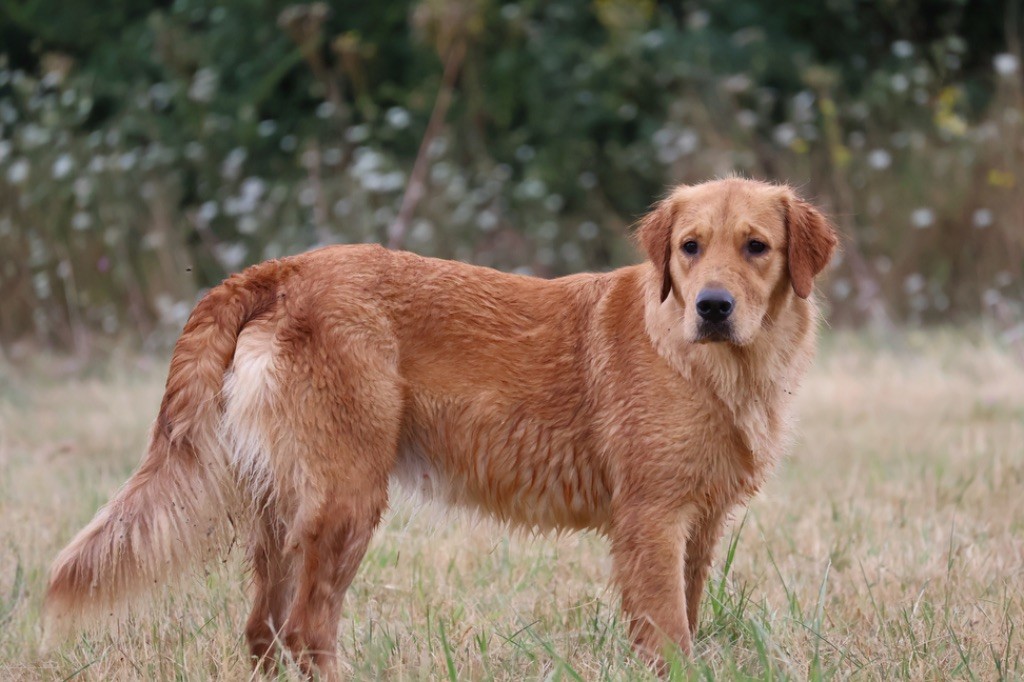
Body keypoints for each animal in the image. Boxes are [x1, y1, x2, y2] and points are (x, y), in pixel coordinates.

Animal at [44, 176, 835, 675]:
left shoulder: (696, 529)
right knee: (306, 631)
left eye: (756, 247)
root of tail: (284, 270)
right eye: (689, 247)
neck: (716, 367)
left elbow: (684, 625)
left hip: (284, 517)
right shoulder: (652, 522)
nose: (712, 307)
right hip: (347, 504)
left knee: (263, 632)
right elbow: (669, 636)